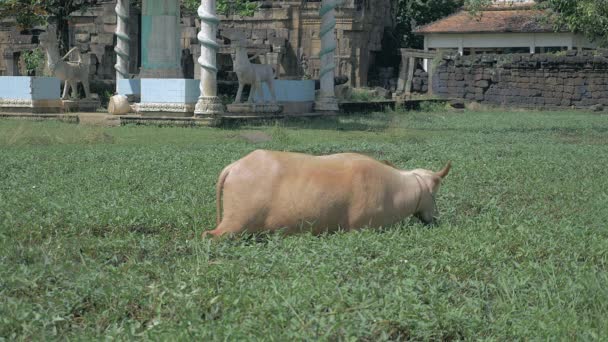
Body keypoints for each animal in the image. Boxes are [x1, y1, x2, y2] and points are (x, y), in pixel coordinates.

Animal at [202, 150, 448, 238]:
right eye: (435, 194)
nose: (435, 218)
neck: (398, 188)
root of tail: (234, 166)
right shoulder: (360, 228)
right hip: (236, 221)